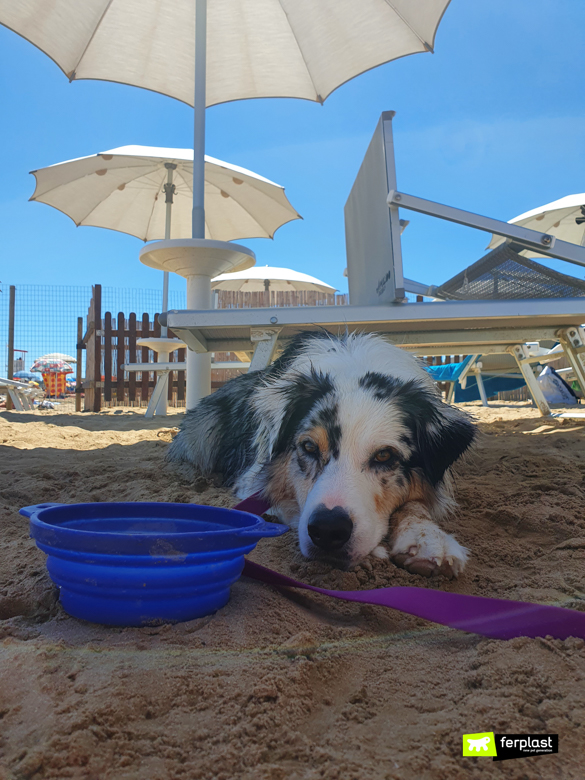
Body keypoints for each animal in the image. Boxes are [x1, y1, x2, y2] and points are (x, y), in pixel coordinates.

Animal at [167, 330, 476, 580]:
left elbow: (415, 506)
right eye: (309, 448)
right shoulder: (253, 480)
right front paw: (375, 551)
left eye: (384, 456)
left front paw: (430, 540)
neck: (355, 366)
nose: (328, 530)